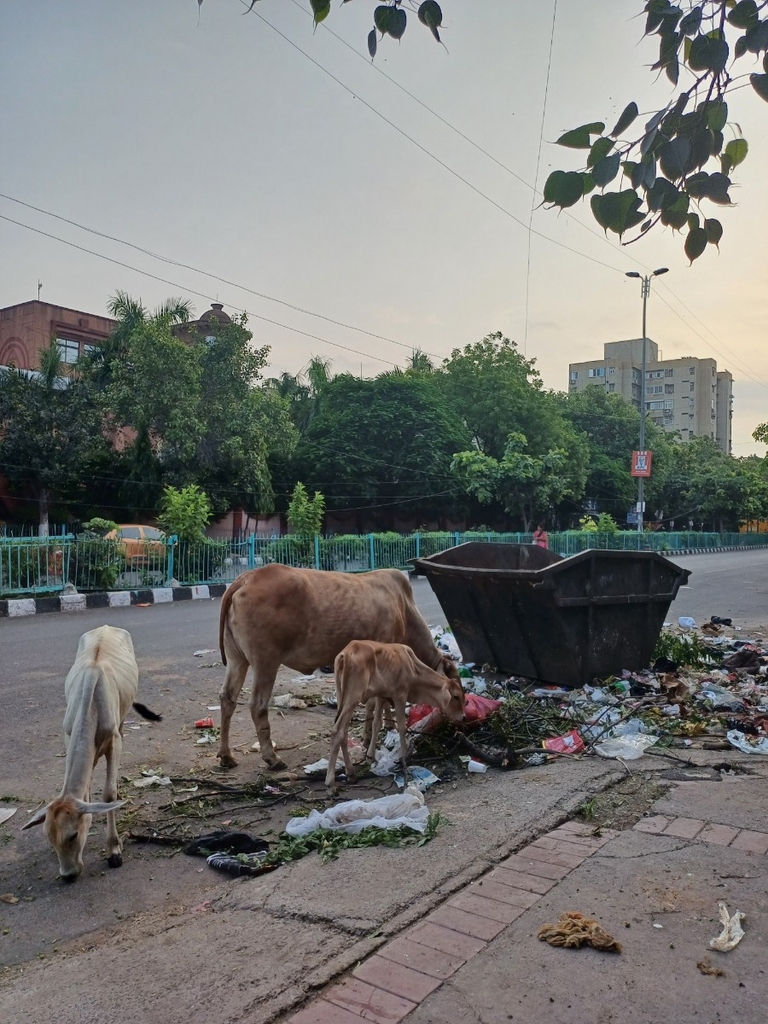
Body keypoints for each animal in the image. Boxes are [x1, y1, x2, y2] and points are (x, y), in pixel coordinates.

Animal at [22, 622, 160, 880]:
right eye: (49, 838)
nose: (68, 875)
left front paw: (114, 850)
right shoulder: (69, 737)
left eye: (73, 835)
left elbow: (109, 793)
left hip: (122, 719)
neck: (91, 702)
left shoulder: (114, 741)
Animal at [218, 565, 456, 770]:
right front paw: (370, 736)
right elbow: (373, 704)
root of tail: (246, 578)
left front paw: (386, 724)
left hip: (236, 658)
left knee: (227, 698)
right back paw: (272, 758)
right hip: (266, 661)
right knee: (258, 706)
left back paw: (226, 756)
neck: (404, 608)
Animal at [327, 643, 466, 794]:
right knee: (337, 731)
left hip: (342, 696)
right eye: (456, 696)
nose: (464, 716)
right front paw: (404, 757)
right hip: (353, 698)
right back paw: (330, 784)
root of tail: (346, 653)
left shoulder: (381, 695)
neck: (413, 667)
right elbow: (401, 727)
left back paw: (351, 773)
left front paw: (370, 756)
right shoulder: (400, 696)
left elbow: (377, 723)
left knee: (344, 732)